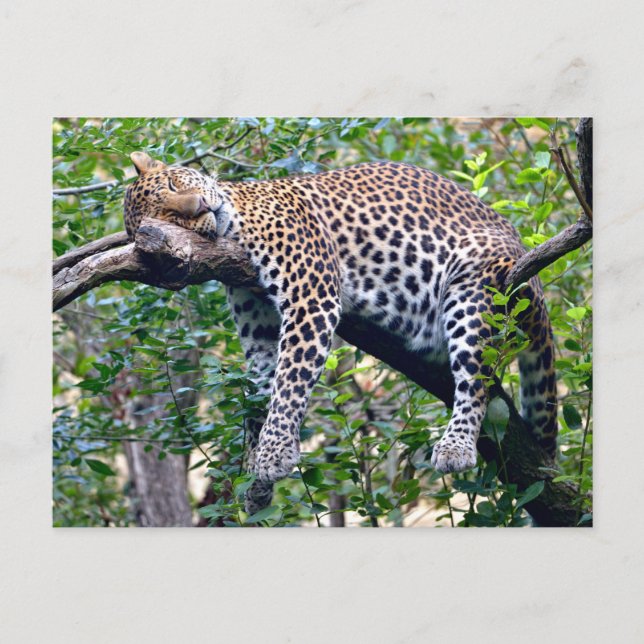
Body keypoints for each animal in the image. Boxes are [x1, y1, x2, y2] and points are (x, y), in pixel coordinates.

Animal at [124, 150, 558, 514]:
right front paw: (257, 483)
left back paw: (456, 447)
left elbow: (289, 383)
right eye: (170, 220)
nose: (201, 206)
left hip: (475, 287)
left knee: (477, 376)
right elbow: (262, 395)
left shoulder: (310, 298)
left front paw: (274, 455)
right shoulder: (260, 330)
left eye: (175, 185)